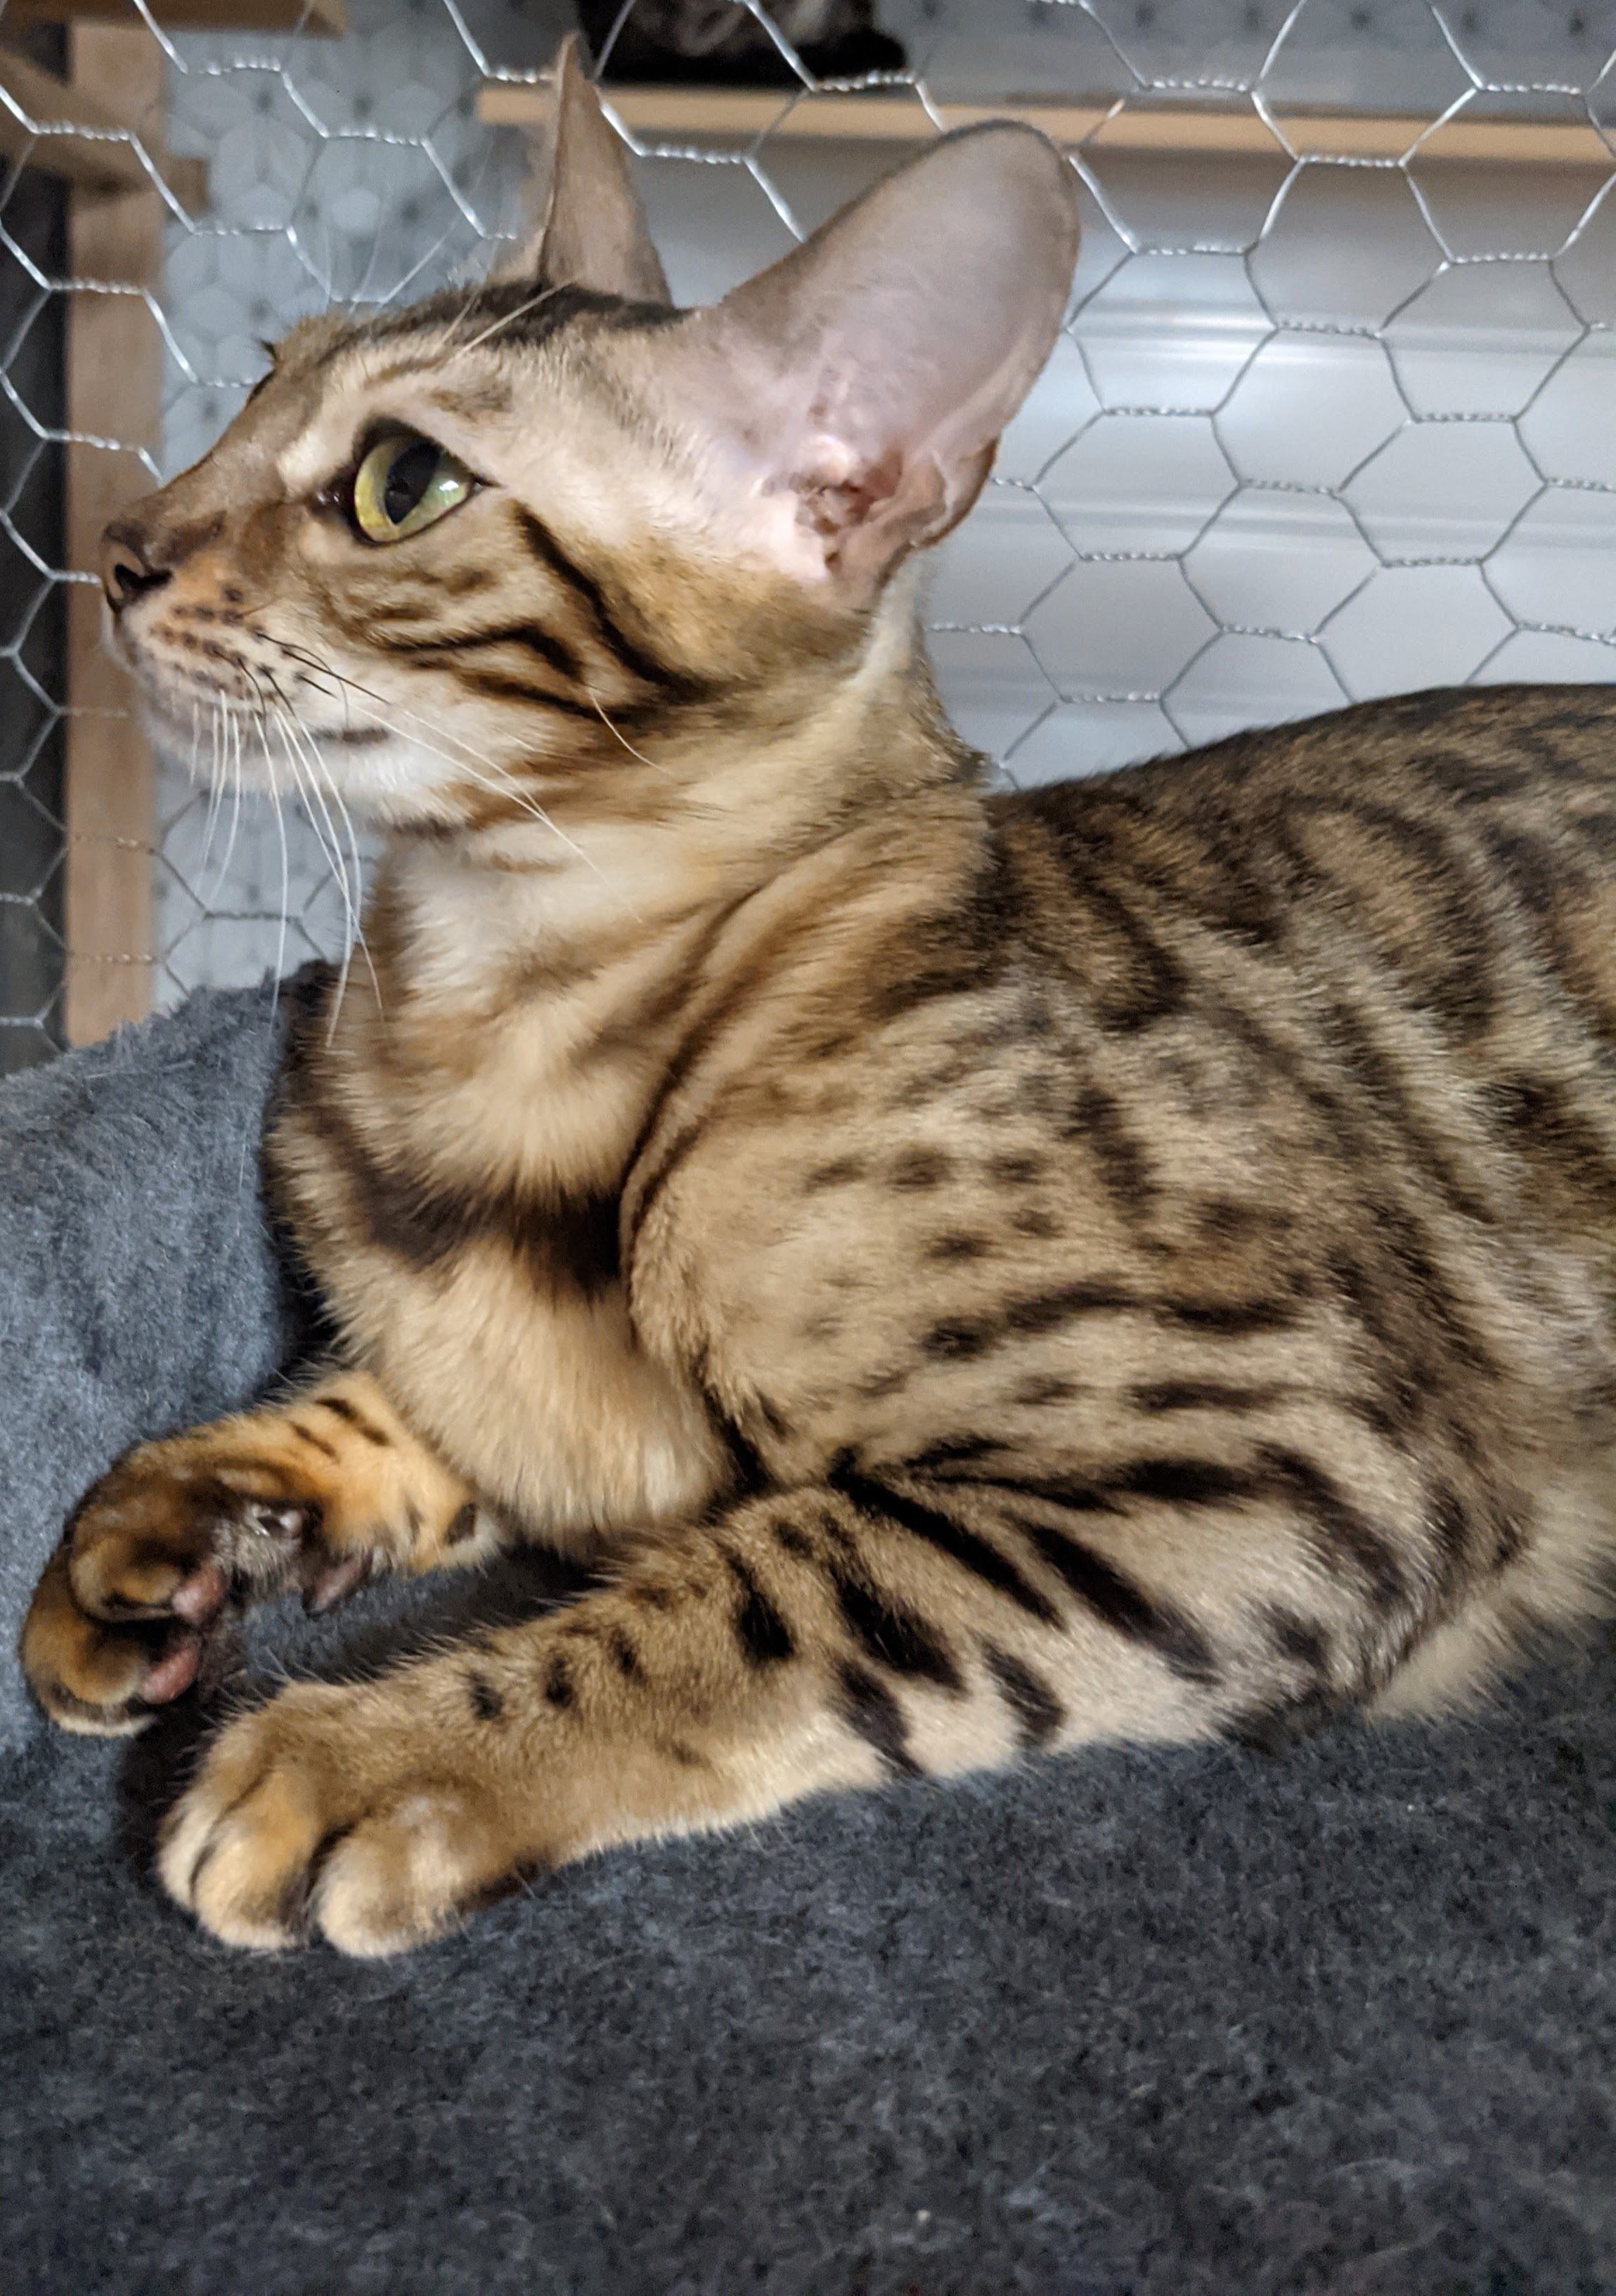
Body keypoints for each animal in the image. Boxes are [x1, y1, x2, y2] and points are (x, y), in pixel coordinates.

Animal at [21, 37, 1616, 1960]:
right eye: (256, 380)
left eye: (403, 481)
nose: (118, 542)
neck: (480, 1032)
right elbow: (443, 1390)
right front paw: (197, 1507)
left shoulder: (1289, 1453)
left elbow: (779, 1576)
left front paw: (378, 1749)